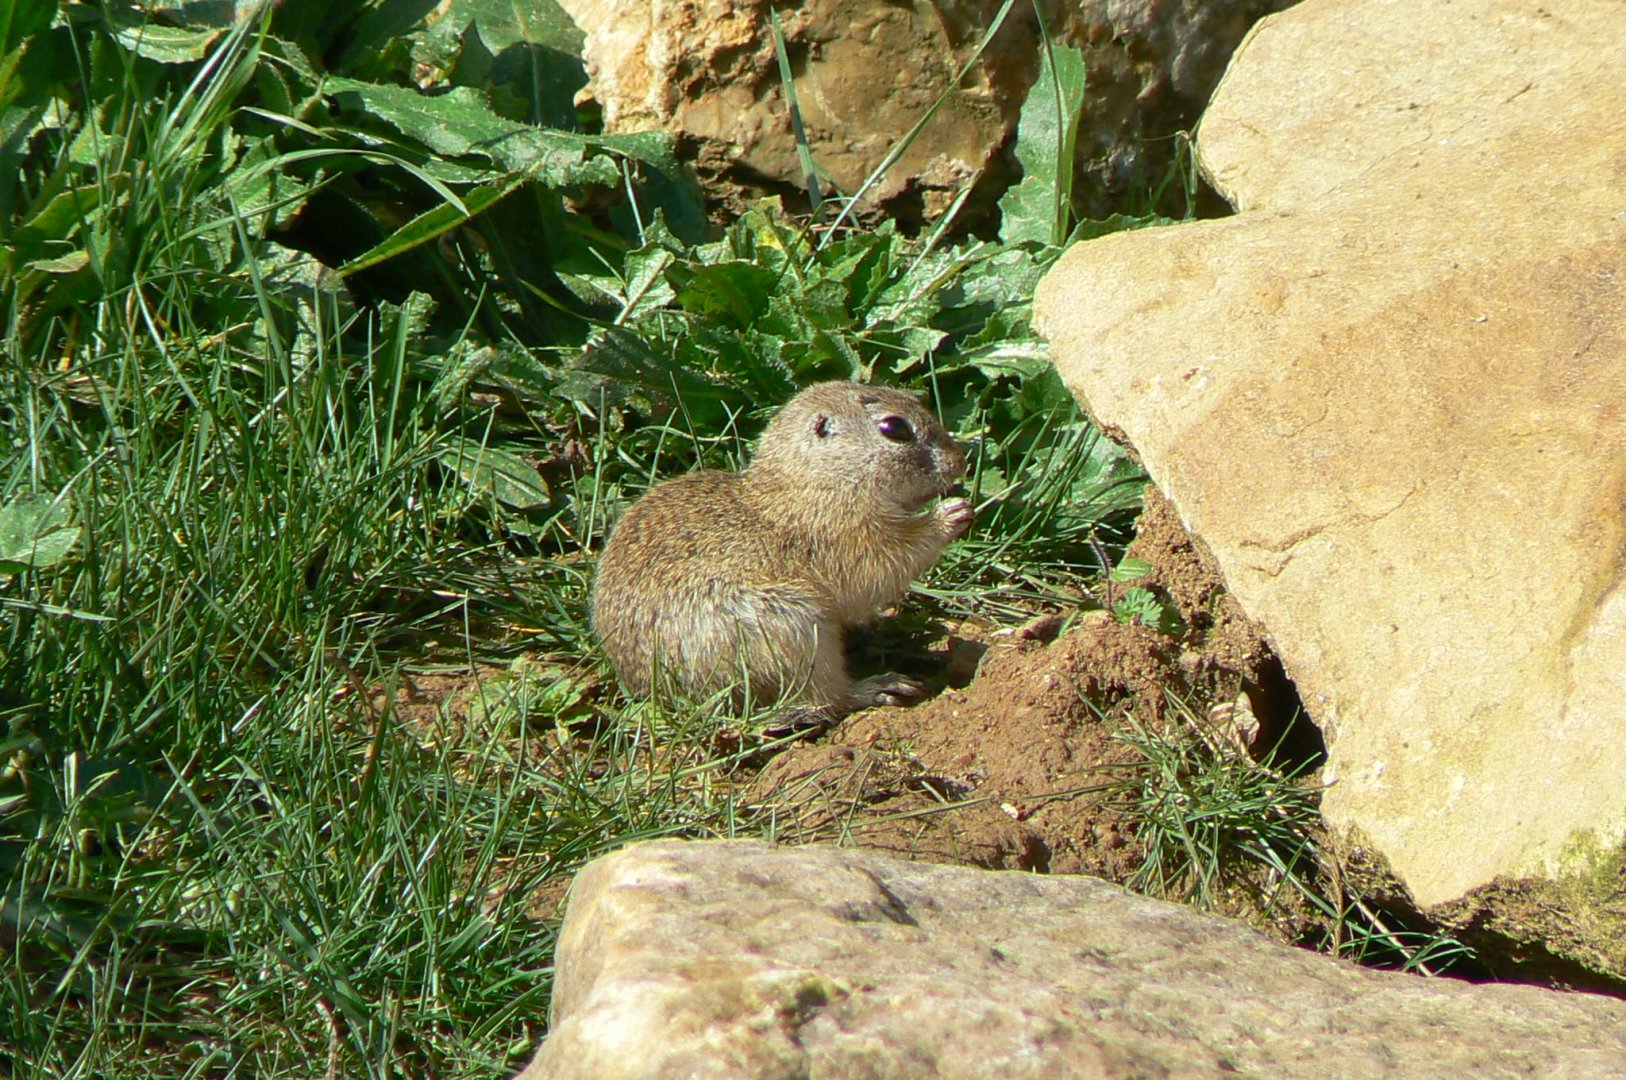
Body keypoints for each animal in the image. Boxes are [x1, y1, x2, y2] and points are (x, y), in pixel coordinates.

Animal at [592, 380, 972, 720]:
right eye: (895, 428)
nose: (961, 462)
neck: (816, 479)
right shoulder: (848, 537)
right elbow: (888, 560)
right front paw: (951, 514)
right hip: (794, 633)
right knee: (827, 698)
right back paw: (879, 686)